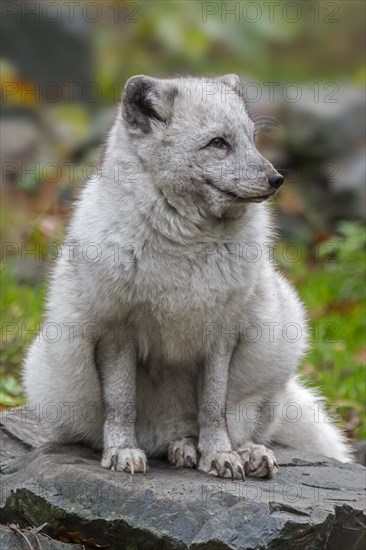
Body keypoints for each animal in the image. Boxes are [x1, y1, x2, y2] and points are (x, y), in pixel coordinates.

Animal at [23, 75, 352, 480]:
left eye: (252, 140)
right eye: (218, 143)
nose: (277, 179)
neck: (186, 246)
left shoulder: (222, 334)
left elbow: (213, 407)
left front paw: (220, 455)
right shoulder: (117, 331)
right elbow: (121, 403)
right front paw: (122, 451)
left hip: (280, 340)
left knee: (242, 425)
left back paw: (241, 452)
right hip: (50, 371)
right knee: (153, 437)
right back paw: (179, 448)